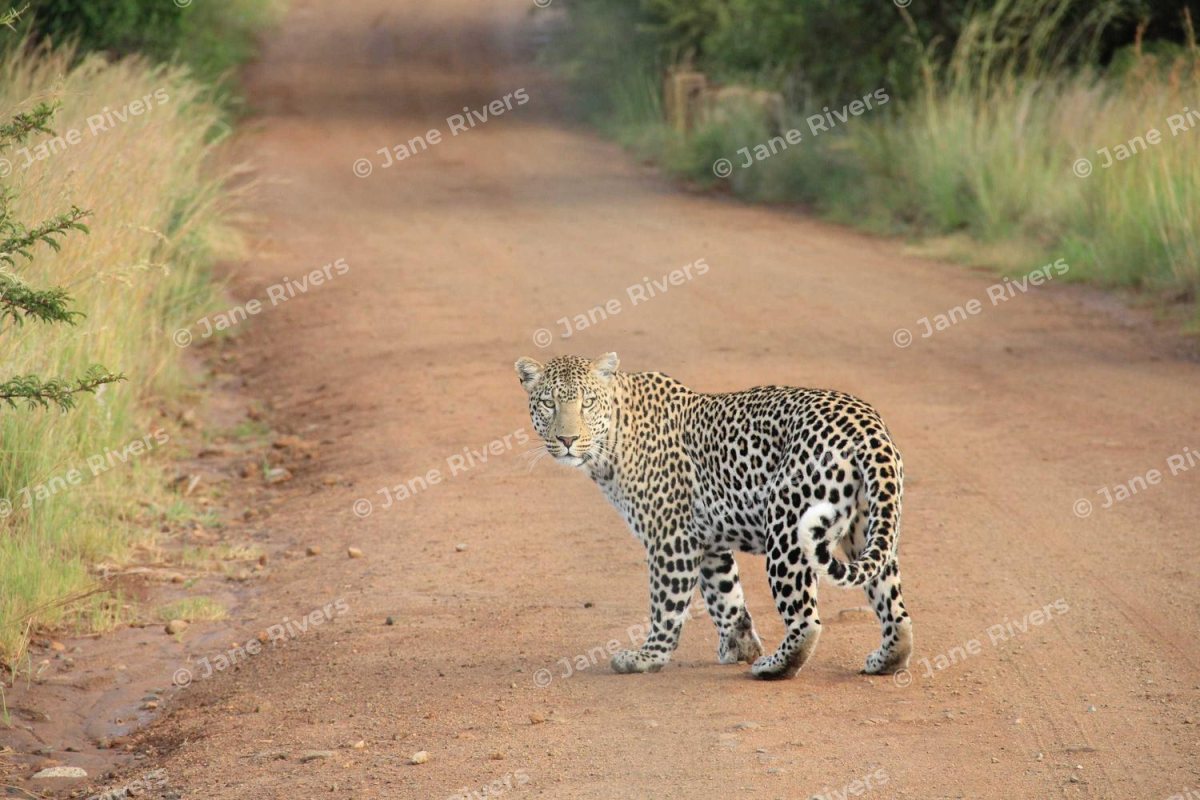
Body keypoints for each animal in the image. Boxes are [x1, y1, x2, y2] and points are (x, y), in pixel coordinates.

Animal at [514, 352, 913, 680]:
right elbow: (726, 597)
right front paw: (739, 646)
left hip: (787, 530)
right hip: (867, 528)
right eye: (548, 403)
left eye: (588, 403)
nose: (567, 440)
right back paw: (885, 660)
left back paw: (773, 667)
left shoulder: (671, 538)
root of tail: (867, 426)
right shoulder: (707, 541)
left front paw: (647, 657)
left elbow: (667, 604)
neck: (612, 439)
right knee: (895, 608)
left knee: (806, 621)